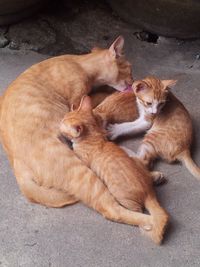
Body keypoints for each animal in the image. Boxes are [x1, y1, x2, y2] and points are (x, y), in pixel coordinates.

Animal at [59, 96, 169, 245]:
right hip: (132, 159)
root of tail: (149, 192)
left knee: (136, 212)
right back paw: (157, 177)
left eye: (63, 123)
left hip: (122, 198)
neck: (93, 136)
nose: (59, 122)